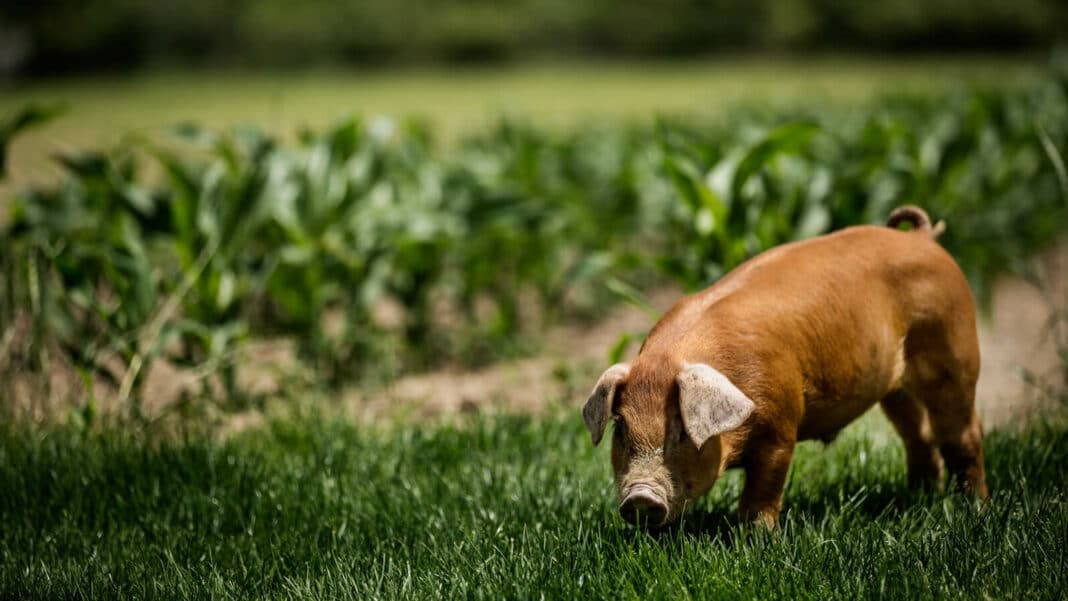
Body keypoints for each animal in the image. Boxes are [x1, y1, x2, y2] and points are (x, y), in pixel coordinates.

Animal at [583, 206, 987, 528]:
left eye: (681, 432)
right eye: (621, 429)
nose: (640, 498)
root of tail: (923, 238)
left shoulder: (780, 426)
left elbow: (762, 492)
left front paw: (755, 539)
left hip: (954, 351)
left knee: (963, 434)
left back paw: (972, 506)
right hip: (894, 389)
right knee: (918, 436)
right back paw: (920, 494)